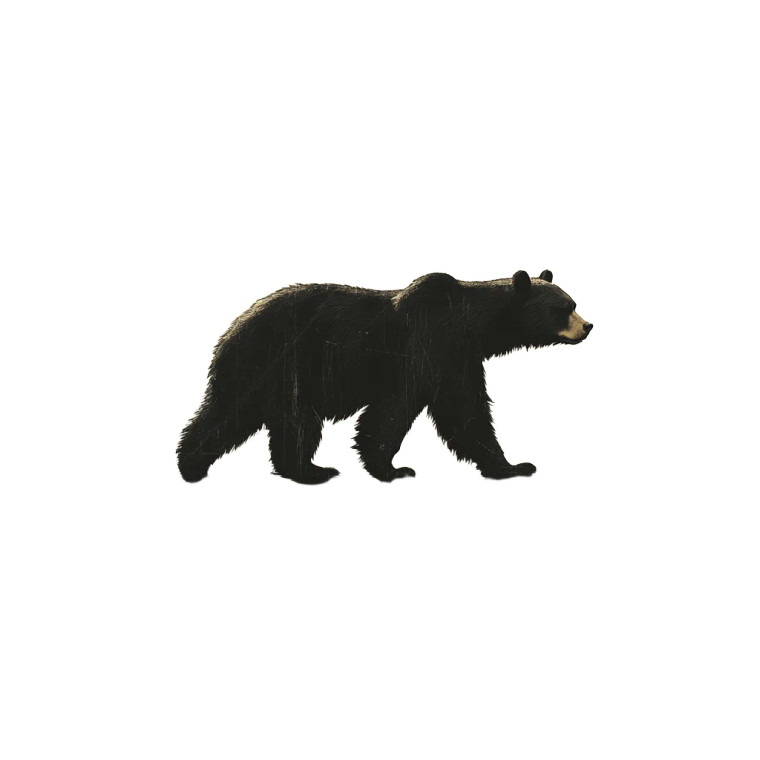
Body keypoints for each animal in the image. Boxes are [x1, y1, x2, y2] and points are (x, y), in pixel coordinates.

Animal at [177, 270, 592, 484]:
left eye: (573, 303)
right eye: (563, 308)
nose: (588, 326)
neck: (470, 323)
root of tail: (235, 325)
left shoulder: (459, 359)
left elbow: (466, 412)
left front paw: (512, 465)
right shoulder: (424, 347)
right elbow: (393, 411)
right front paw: (393, 469)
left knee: (282, 423)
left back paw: (305, 469)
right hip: (274, 361)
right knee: (236, 412)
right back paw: (193, 466)